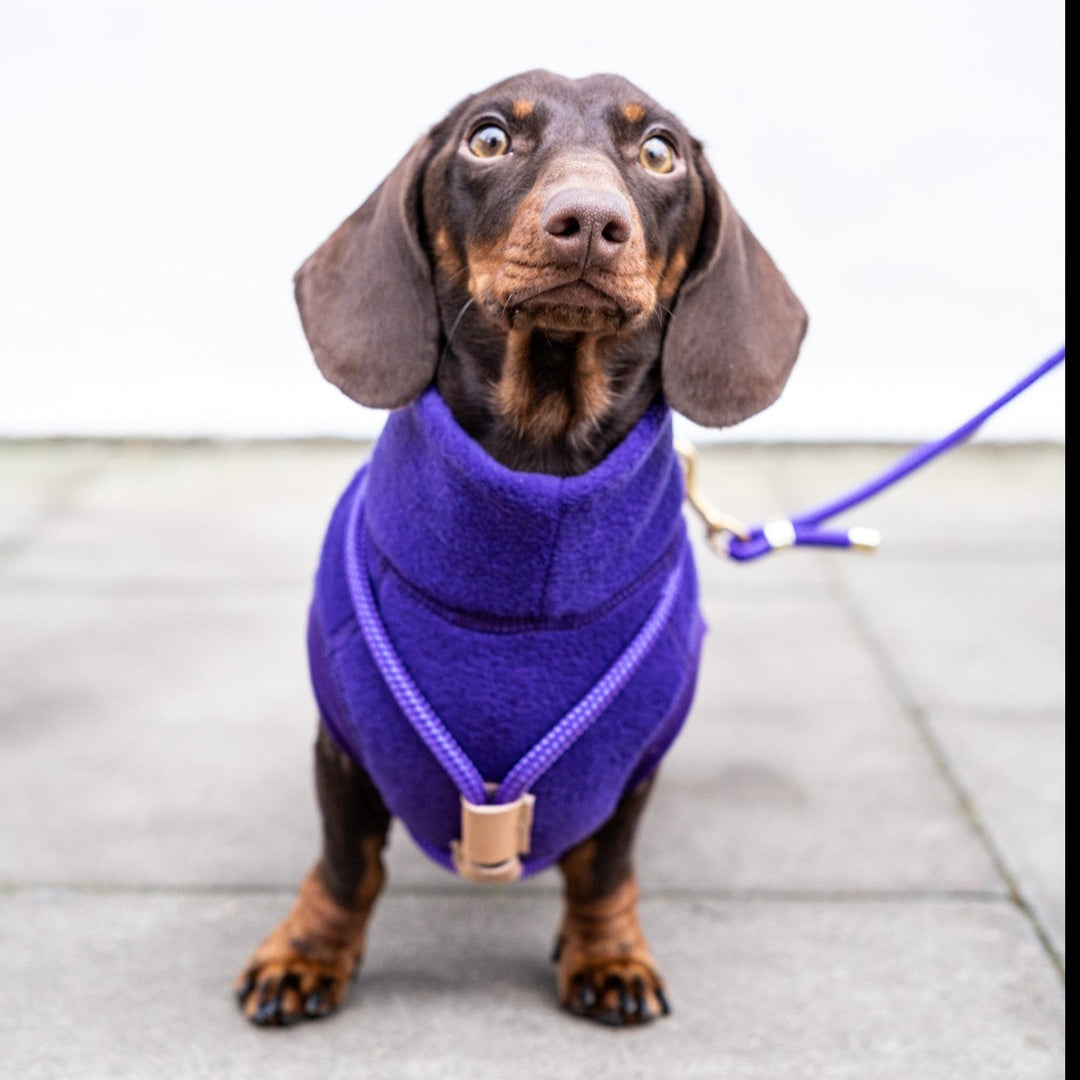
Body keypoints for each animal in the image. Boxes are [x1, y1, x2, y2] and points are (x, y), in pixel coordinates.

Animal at [238, 67, 812, 1028]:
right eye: (489, 138)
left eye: (658, 151)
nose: (589, 221)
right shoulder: (345, 743)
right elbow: (349, 866)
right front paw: (307, 953)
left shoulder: (632, 760)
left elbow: (605, 868)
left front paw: (609, 954)